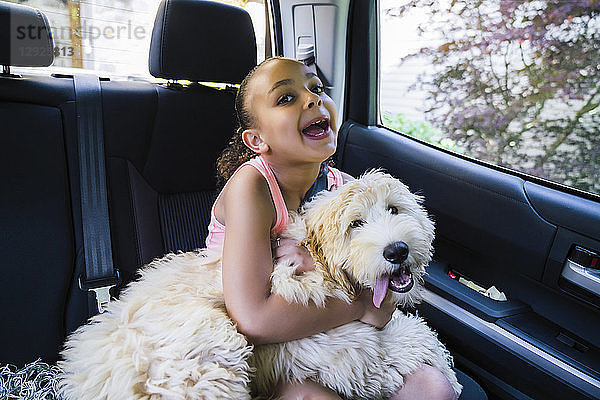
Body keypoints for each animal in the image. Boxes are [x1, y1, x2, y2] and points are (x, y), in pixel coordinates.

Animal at [58, 171, 462, 400]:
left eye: (394, 209)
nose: (397, 250)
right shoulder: (337, 342)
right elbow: (410, 338)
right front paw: (448, 372)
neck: (321, 263)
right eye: (355, 225)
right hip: (211, 351)